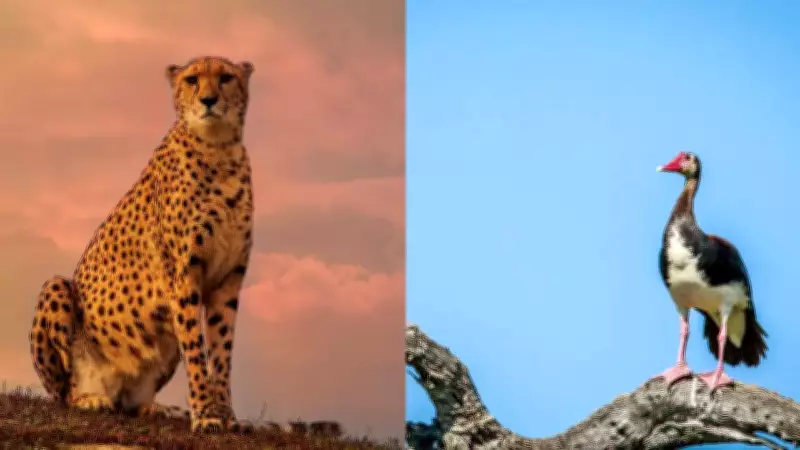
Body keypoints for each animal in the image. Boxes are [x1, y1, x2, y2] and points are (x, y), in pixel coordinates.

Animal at [29, 56, 256, 434]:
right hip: (56, 288)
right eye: (192, 80)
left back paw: (158, 408)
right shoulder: (184, 277)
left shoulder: (228, 279)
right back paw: (89, 398)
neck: (219, 149)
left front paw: (227, 416)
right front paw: (206, 415)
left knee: (132, 404)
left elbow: (221, 352)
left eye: (226, 78)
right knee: (64, 392)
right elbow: (198, 351)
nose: (209, 100)